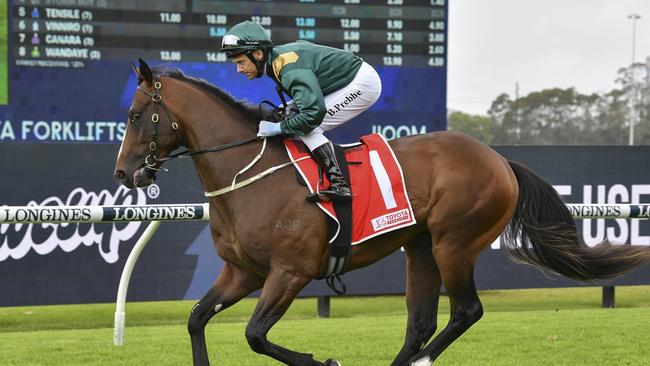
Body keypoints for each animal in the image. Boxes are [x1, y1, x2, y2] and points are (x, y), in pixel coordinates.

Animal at [112, 58, 648, 364]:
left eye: (136, 115)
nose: (122, 173)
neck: (249, 173)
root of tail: (499, 160)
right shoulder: (243, 271)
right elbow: (197, 319)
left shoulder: (291, 270)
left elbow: (256, 334)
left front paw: (324, 361)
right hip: (422, 247)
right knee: (420, 323)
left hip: (455, 242)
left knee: (465, 311)